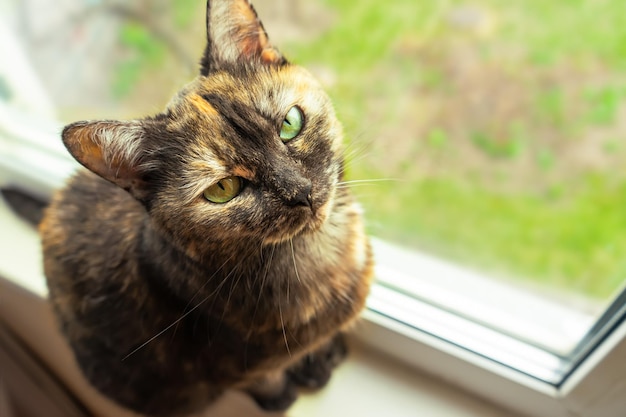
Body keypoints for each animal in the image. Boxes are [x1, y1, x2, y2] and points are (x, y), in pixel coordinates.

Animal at [41, 0, 372, 412]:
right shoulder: (233, 366)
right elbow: (265, 378)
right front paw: (282, 395)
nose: (301, 192)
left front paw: (323, 355)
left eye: (290, 124)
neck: (324, 255)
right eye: (223, 188)